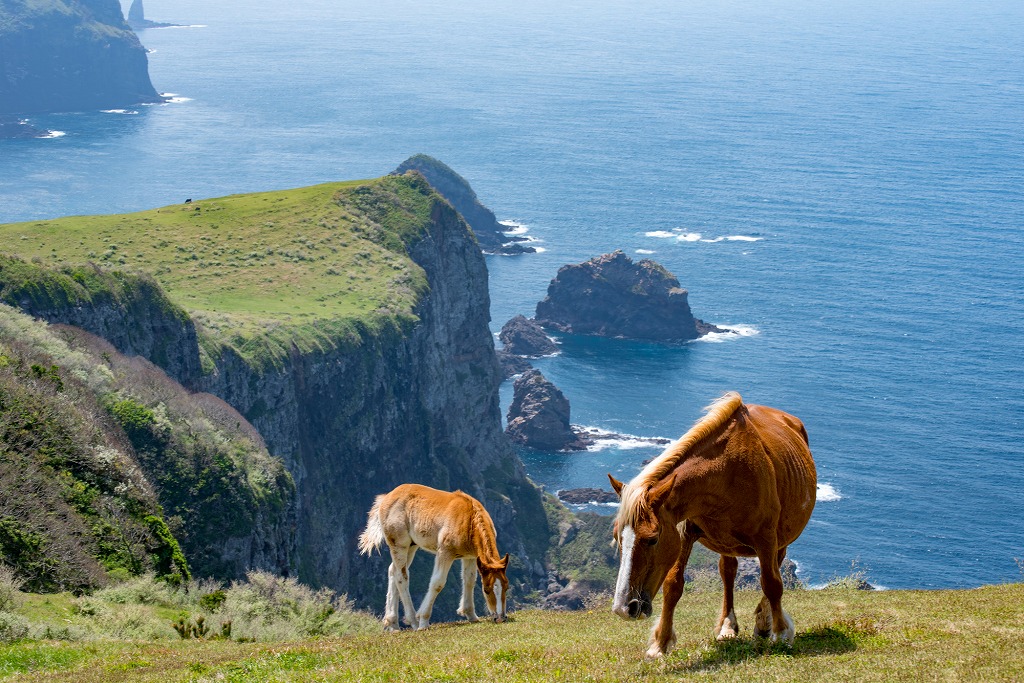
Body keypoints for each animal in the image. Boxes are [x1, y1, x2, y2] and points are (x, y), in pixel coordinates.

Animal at [358, 485, 509, 630]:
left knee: (392, 571)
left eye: (506, 587)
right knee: (402, 577)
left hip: (411, 546)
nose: (500, 618)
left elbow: (469, 580)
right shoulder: (444, 552)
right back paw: (413, 622)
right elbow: (437, 583)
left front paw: (471, 615)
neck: (469, 520)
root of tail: (386, 497)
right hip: (399, 544)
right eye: (486, 590)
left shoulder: (471, 556)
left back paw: (393, 623)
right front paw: (423, 620)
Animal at [606, 393, 815, 659]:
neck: (725, 470)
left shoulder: (766, 538)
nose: (624, 608)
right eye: (618, 538)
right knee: (728, 572)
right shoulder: (683, 533)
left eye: (652, 538)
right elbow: (673, 585)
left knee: (774, 569)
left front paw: (780, 634)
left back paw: (763, 622)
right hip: (726, 544)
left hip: (780, 539)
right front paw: (660, 643)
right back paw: (727, 625)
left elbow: (772, 583)